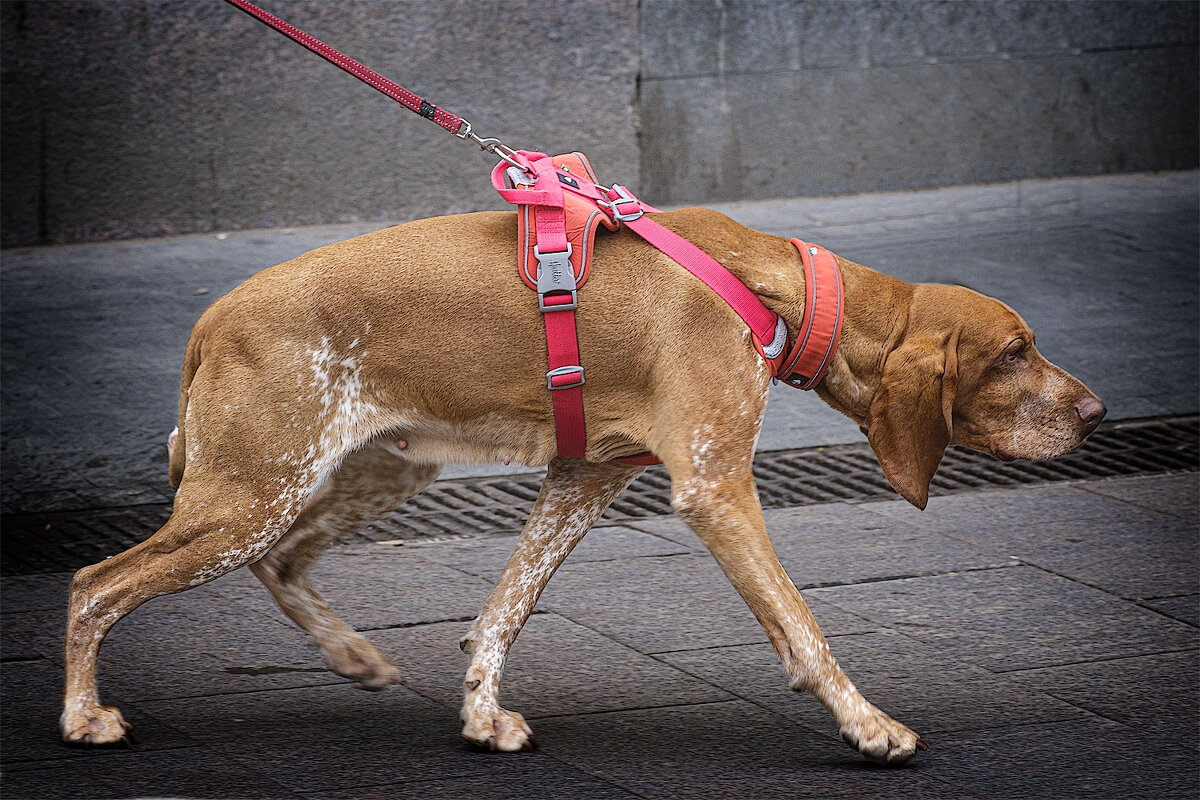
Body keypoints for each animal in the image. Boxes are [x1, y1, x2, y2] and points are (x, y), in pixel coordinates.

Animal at [60, 206, 1099, 762]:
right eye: (1015, 352)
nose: (1095, 413)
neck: (784, 290)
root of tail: (212, 316)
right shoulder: (715, 488)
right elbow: (803, 625)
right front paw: (868, 725)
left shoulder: (583, 478)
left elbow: (506, 608)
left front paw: (481, 713)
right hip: (251, 494)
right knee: (94, 585)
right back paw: (83, 717)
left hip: (373, 469)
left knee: (281, 562)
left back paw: (352, 655)